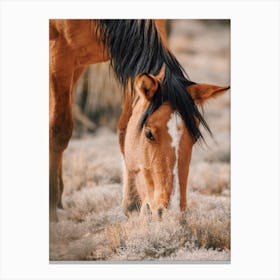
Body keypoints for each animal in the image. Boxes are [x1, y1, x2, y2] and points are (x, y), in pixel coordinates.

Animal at [49, 18, 230, 222]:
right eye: (149, 134)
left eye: (196, 137)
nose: (172, 212)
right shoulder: (60, 55)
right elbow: (59, 130)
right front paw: (51, 213)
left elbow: (125, 129)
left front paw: (133, 205)